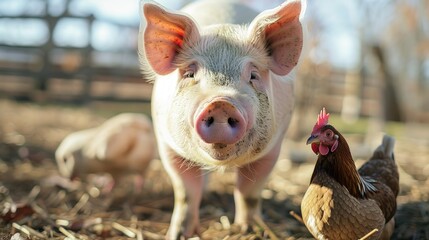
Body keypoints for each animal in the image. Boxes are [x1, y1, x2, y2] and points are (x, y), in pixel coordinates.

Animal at [139, 0, 306, 237]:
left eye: (253, 75)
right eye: (190, 74)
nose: (221, 103)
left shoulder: (273, 148)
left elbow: (249, 193)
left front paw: (247, 230)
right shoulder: (167, 145)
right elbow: (185, 193)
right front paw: (179, 235)